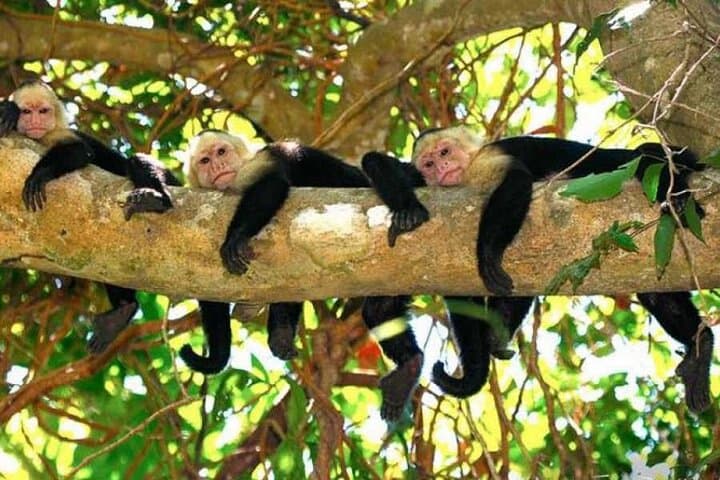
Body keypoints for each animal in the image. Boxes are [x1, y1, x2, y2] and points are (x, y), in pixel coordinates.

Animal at [0, 80, 183, 353]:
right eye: (27, 111)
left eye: (43, 111)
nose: (35, 120)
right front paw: (7, 111)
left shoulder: (56, 134)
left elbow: (81, 151)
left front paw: (40, 173)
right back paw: (123, 310)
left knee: (135, 162)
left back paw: (156, 199)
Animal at [181, 130, 423, 420]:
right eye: (204, 161)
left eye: (221, 152)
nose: (217, 166)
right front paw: (278, 334)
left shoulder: (256, 165)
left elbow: (273, 184)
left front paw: (236, 237)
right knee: (380, 311)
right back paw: (409, 369)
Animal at [361, 125, 712, 413]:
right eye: (429, 164)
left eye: (445, 153)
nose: (443, 168)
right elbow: (377, 163)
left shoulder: (486, 161)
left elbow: (516, 179)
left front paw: (487, 256)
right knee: (658, 296)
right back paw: (701, 347)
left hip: (669, 162)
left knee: (648, 156)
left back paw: (677, 197)